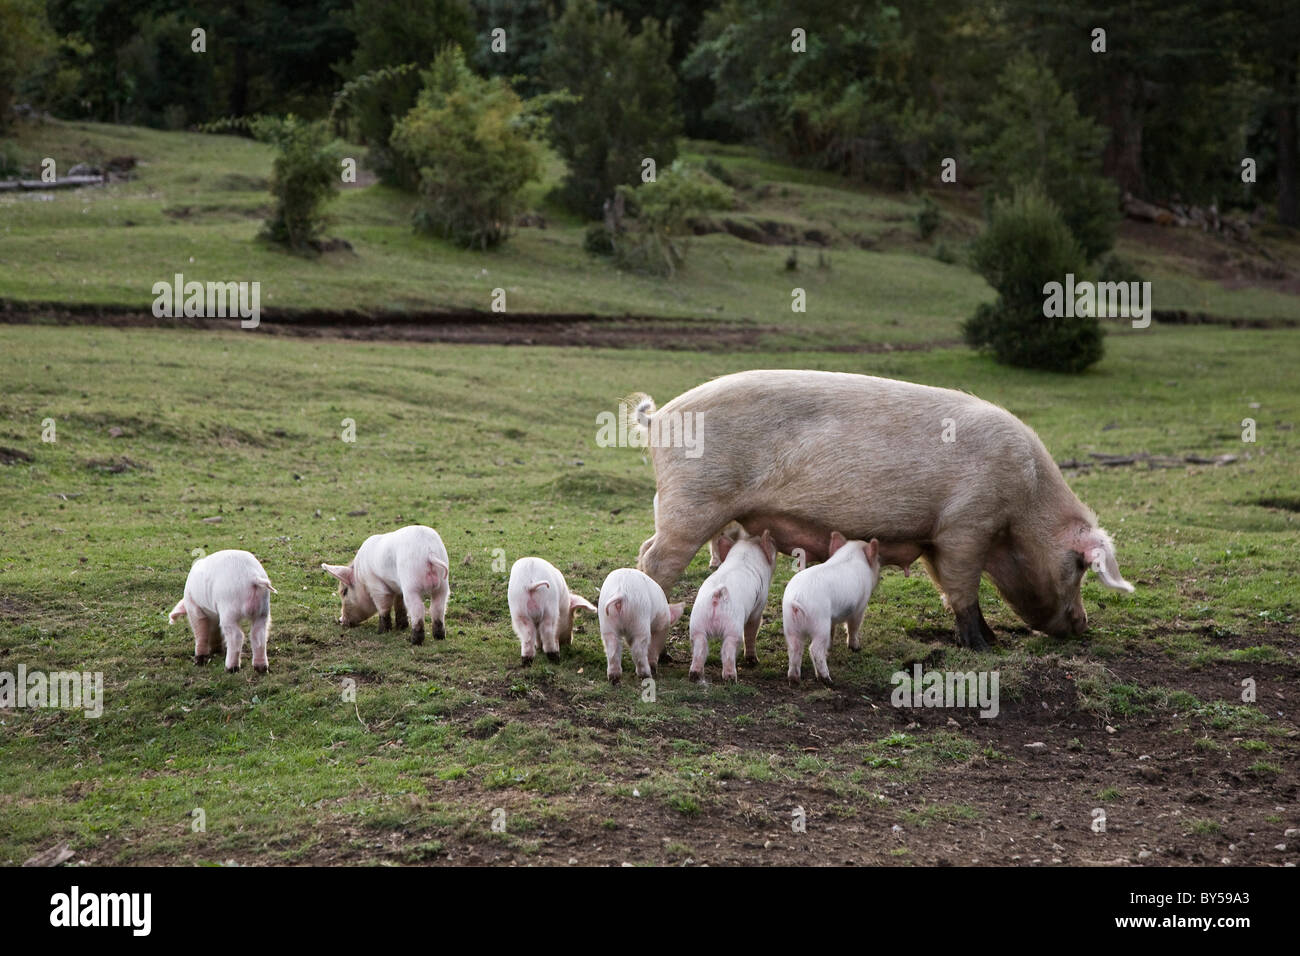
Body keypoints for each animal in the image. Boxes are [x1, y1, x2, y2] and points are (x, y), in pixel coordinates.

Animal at [321, 525, 450, 644]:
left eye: (344, 592)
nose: (340, 620)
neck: (360, 576)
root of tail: (429, 553)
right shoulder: (398, 587)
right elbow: (399, 605)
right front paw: (401, 627)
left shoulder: (375, 584)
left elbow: (384, 607)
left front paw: (381, 632)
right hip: (443, 584)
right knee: (437, 608)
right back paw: (439, 637)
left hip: (412, 583)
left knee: (418, 609)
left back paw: (414, 641)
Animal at [633, 370, 1134, 651]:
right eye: (1079, 566)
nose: (1082, 625)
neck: (1023, 508)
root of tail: (659, 417)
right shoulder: (965, 525)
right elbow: (964, 587)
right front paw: (982, 649)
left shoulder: (935, 537)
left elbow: (949, 589)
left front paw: (989, 639)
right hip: (692, 501)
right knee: (655, 561)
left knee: (645, 547)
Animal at [688, 528, 777, 682]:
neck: (744, 555)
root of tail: (716, 595)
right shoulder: (759, 606)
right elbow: (752, 628)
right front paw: (753, 661)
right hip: (733, 627)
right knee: (728, 650)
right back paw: (731, 678)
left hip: (697, 624)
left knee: (700, 648)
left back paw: (694, 675)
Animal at [782, 533, 881, 685]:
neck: (852, 553)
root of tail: (796, 599)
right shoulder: (860, 606)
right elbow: (853, 627)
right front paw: (856, 648)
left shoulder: (832, 618)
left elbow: (833, 629)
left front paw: (830, 647)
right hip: (820, 622)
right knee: (814, 649)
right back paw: (827, 680)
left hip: (789, 624)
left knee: (795, 648)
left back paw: (794, 680)